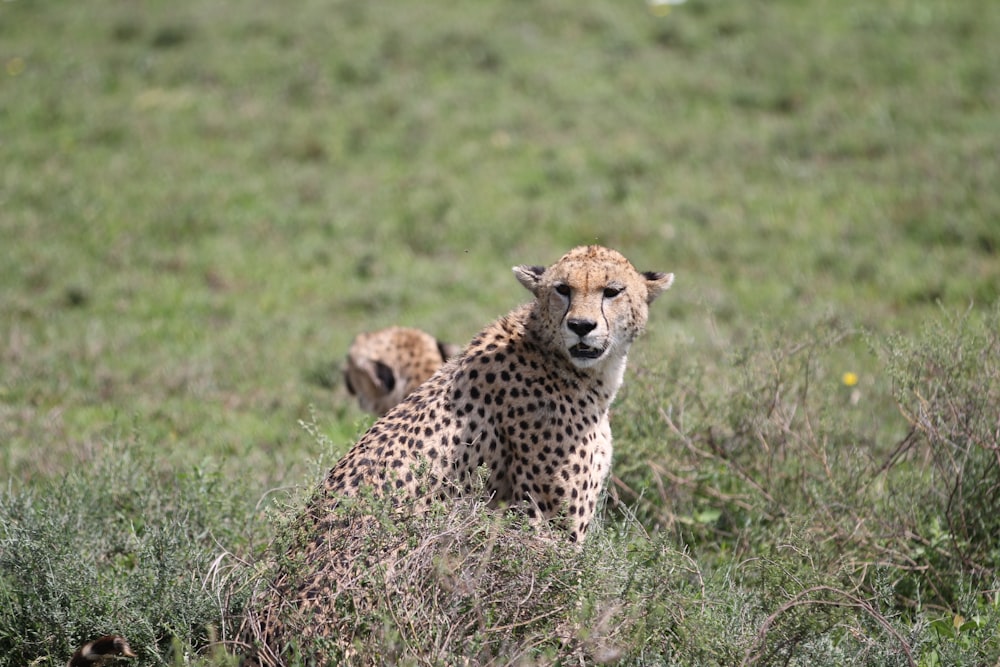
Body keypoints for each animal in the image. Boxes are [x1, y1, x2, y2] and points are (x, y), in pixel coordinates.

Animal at [246, 248, 676, 664]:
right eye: (563, 289)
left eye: (612, 291)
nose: (581, 326)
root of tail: (267, 633)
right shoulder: (548, 525)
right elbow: (560, 594)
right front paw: (573, 646)